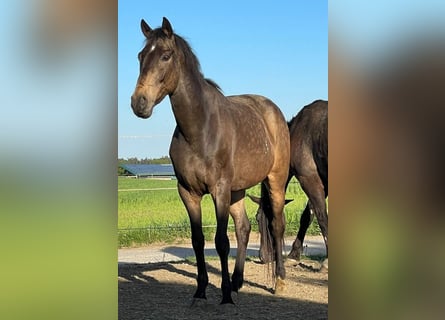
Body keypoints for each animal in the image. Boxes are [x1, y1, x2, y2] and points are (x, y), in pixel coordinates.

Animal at [130, 18, 290, 304]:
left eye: (165, 56)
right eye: (140, 56)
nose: (139, 103)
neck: (200, 130)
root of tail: (272, 110)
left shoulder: (219, 190)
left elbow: (221, 242)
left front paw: (224, 295)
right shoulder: (188, 192)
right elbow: (198, 240)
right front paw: (201, 290)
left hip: (275, 181)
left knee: (276, 226)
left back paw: (279, 281)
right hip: (238, 190)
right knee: (244, 228)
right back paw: (237, 281)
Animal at [250, 99, 326, 264]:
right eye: (257, 218)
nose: (264, 257)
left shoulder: (309, 178)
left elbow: (321, 216)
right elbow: (307, 216)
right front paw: (294, 254)